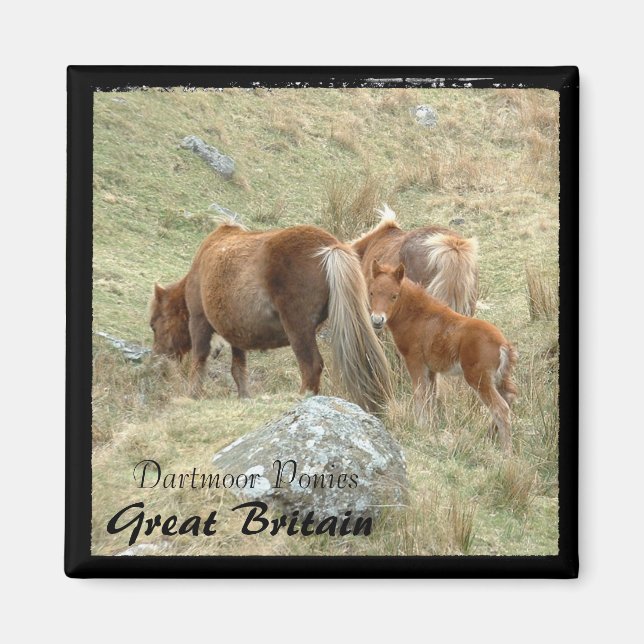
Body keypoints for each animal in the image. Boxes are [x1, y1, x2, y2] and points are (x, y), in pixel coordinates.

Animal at [150, 220, 393, 412]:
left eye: (154, 324)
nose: (158, 359)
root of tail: (330, 247)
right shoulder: (237, 334)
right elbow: (238, 369)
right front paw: (244, 397)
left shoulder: (199, 321)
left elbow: (199, 360)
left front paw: (193, 395)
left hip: (298, 328)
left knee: (311, 365)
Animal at [367, 260, 518, 453]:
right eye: (372, 292)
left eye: (394, 296)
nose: (377, 320)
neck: (417, 316)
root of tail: (503, 344)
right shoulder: (431, 369)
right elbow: (430, 397)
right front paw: (431, 427)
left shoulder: (414, 361)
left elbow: (419, 393)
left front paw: (419, 426)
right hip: (500, 378)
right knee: (509, 396)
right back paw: (490, 436)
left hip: (478, 378)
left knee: (501, 408)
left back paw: (506, 452)